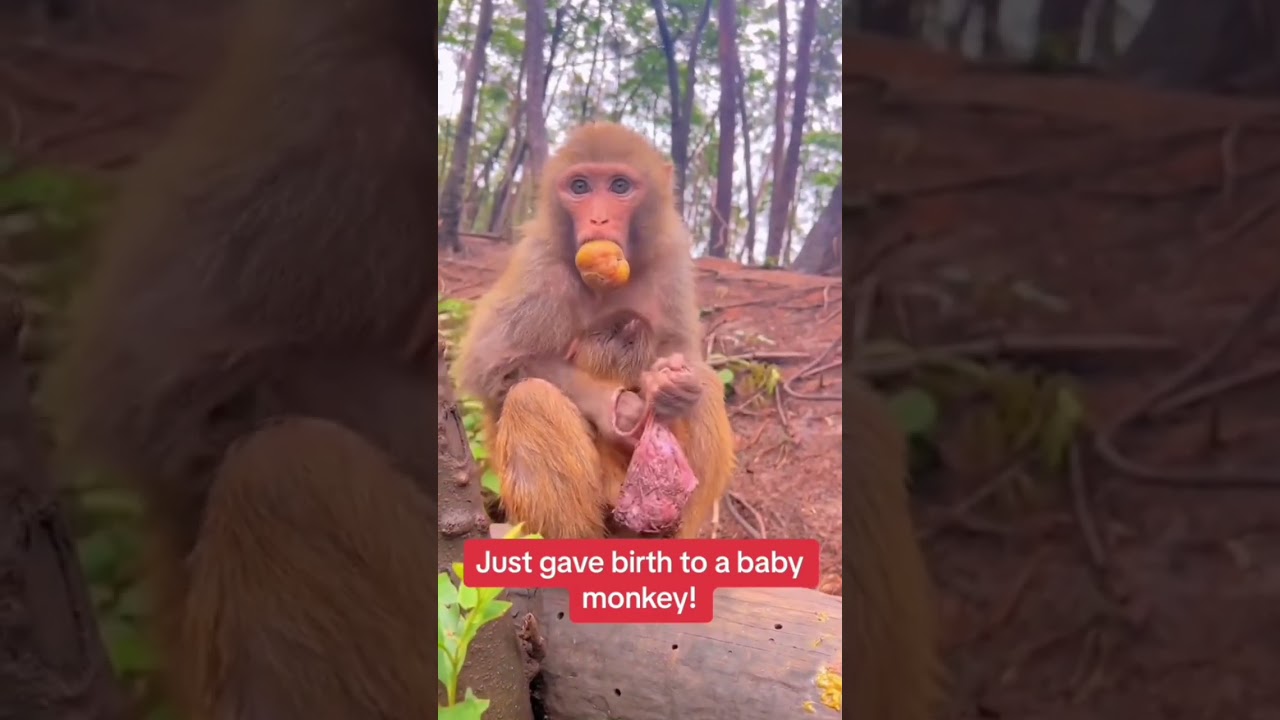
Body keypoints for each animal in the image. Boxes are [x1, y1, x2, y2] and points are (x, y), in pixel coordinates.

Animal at [452, 122, 736, 540]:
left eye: (619, 186)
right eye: (580, 187)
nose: (599, 221)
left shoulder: (671, 258)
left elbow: (683, 355)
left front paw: (671, 388)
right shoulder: (541, 266)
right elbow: (493, 365)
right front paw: (625, 411)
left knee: (707, 384)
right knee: (530, 397)